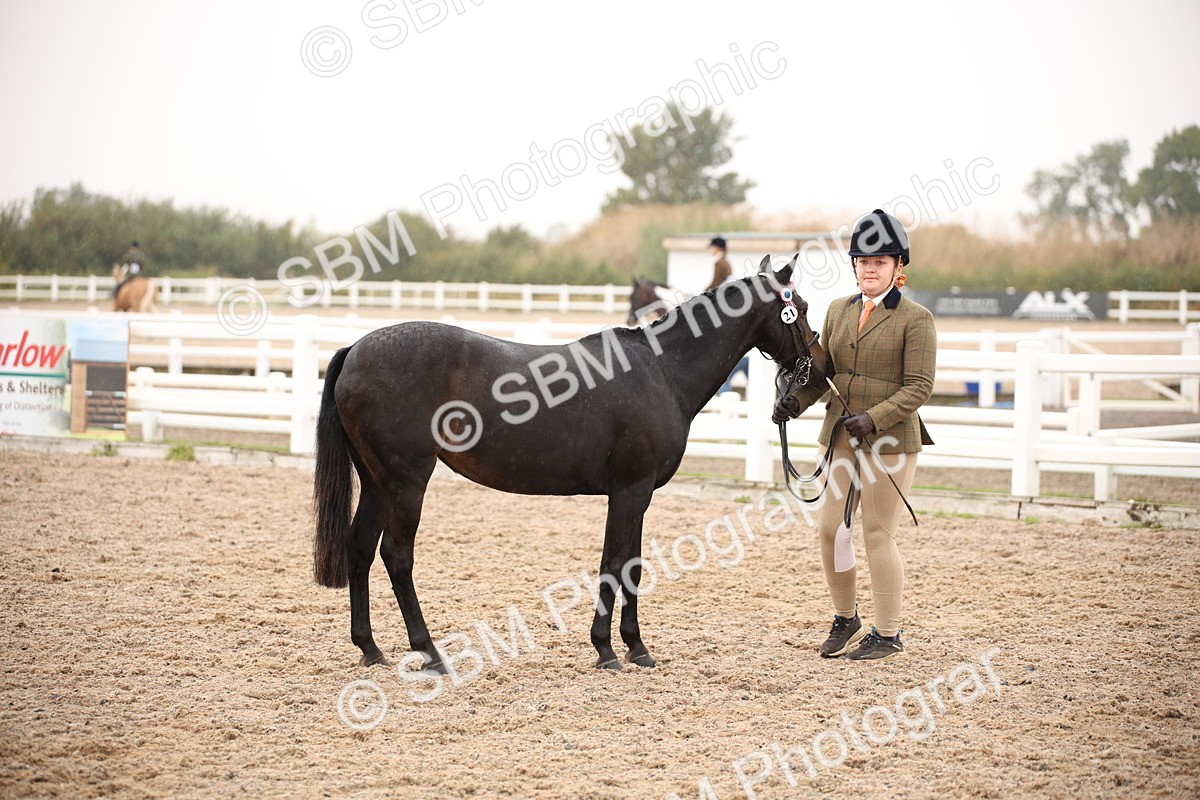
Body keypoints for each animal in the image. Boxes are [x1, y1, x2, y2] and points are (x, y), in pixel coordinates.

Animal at [313, 255, 824, 672]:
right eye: (799, 307)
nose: (816, 370)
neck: (661, 371)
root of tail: (355, 350)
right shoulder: (629, 490)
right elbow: (614, 563)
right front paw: (608, 649)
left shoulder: (637, 494)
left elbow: (632, 565)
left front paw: (635, 648)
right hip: (405, 482)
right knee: (397, 557)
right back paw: (431, 652)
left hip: (376, 482)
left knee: (360, 548)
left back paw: (371, 649)